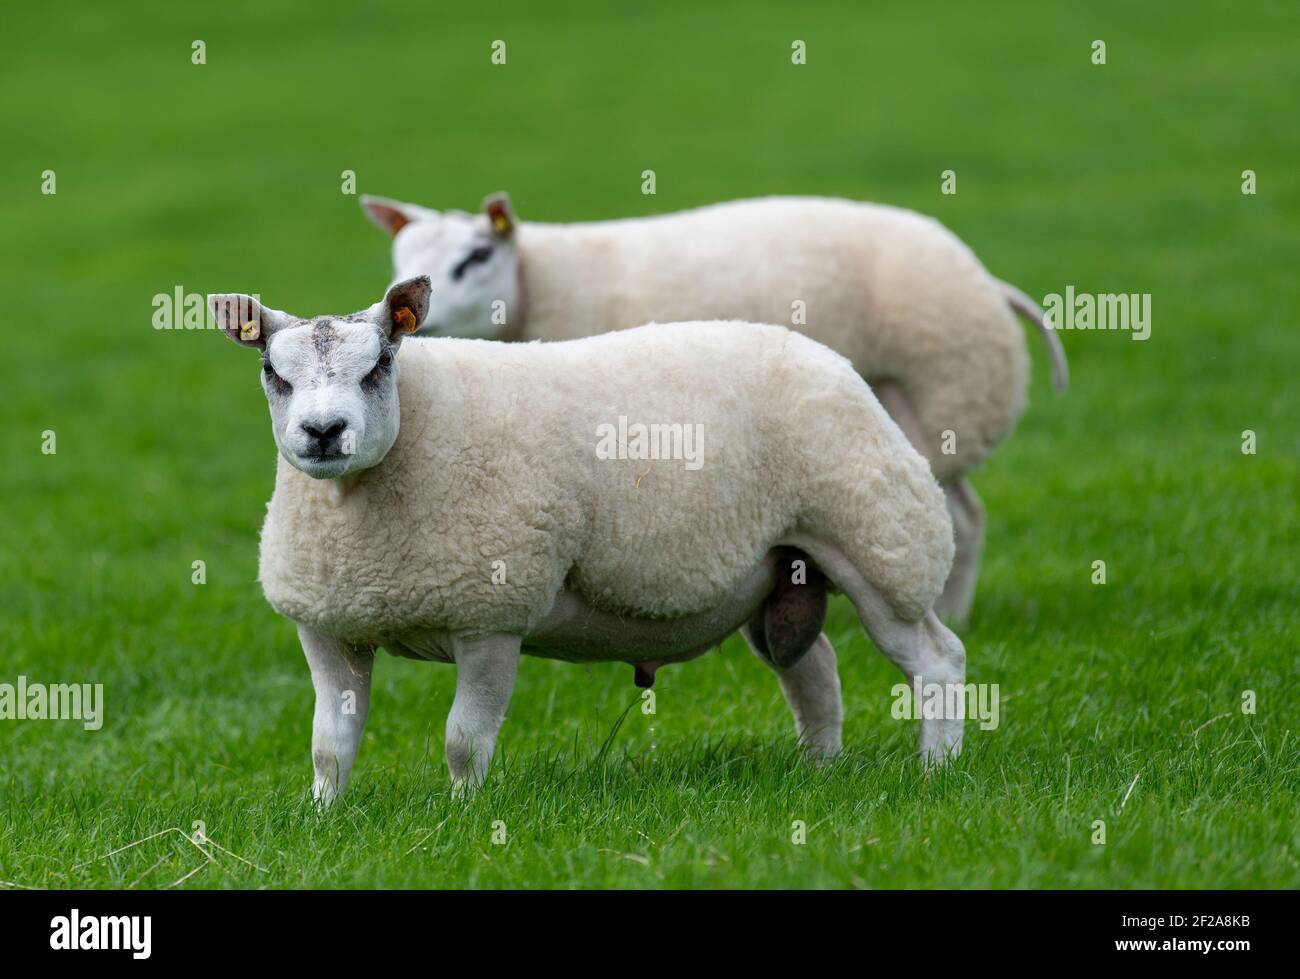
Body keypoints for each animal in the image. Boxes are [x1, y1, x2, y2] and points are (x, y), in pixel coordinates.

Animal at [207, 276, 968, 802]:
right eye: (273, 372)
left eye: (379, 366)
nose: (323, 432)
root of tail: (823, 355)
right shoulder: (328, 626)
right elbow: (329, 747)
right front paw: (323, 816)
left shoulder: (492, 615)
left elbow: (464, 741)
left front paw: (461, 814)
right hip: (782, 571)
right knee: (815, 672)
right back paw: (820, 771)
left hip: (882, 541)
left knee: (937, 660)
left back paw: (937, 771)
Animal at [362, 193, 1068, 626]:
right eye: (401, 257)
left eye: (478, 256)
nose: (417, 318)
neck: (540, 281)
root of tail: (986, 281)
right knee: (958, 511)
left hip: (940, 400)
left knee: (954, 517)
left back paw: (952, 614)